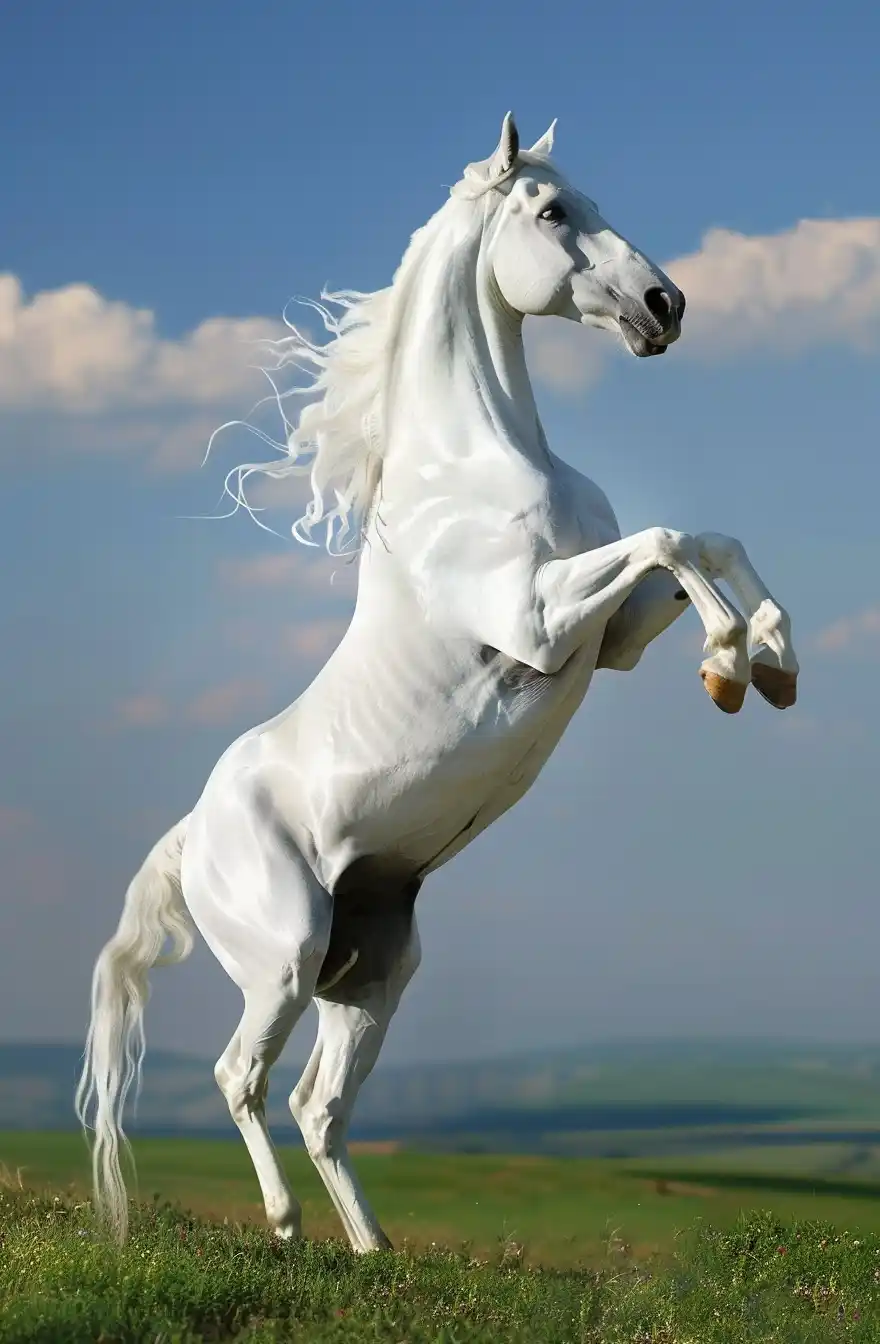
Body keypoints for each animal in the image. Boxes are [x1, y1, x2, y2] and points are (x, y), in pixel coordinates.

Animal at [76, 113, 799, 1252]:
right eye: (553, 212)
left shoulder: (613, 636)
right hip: (284, 953)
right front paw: (730, 663)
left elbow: (706, 538)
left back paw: (373, 1252)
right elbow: (670, 538)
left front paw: (768, 664)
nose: (665, 307)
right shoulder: (539, 623)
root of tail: (193, 834)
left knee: (317, 1105)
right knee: (242, 1079)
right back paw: (284, 1224)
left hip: (370, 971)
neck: (475, 464)